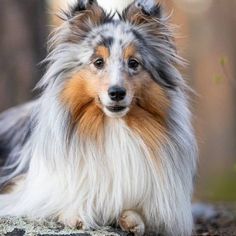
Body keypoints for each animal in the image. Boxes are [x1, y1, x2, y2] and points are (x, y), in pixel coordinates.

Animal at [0, 0, 197, 235]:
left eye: (133, 63)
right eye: (98, 62)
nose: (117, 93)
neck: (113, 125)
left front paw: (133, 219)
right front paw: (75, 213)